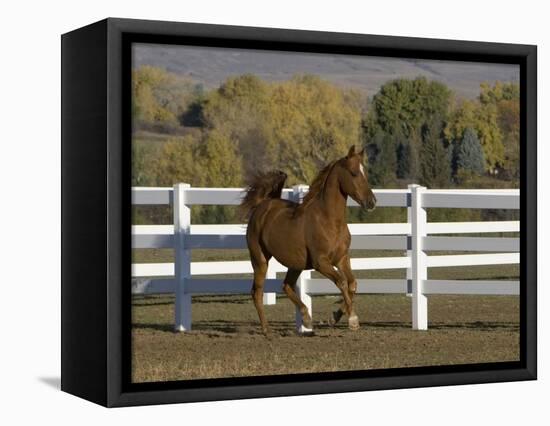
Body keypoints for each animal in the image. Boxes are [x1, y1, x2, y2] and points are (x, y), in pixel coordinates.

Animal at [243, 146, 380, 336]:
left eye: (365, 172)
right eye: (353, 173)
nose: (371, 202)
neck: (329, 221)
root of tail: (262, 205)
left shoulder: (342, 258)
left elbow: (352, 284)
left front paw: (334, 317)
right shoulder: (320, 262)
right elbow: (342, 282)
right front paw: (353, 321)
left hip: (295, 264)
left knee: (286, 286)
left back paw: (306, 318)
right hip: (260, 259)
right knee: (257, 292)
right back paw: (266, 329)